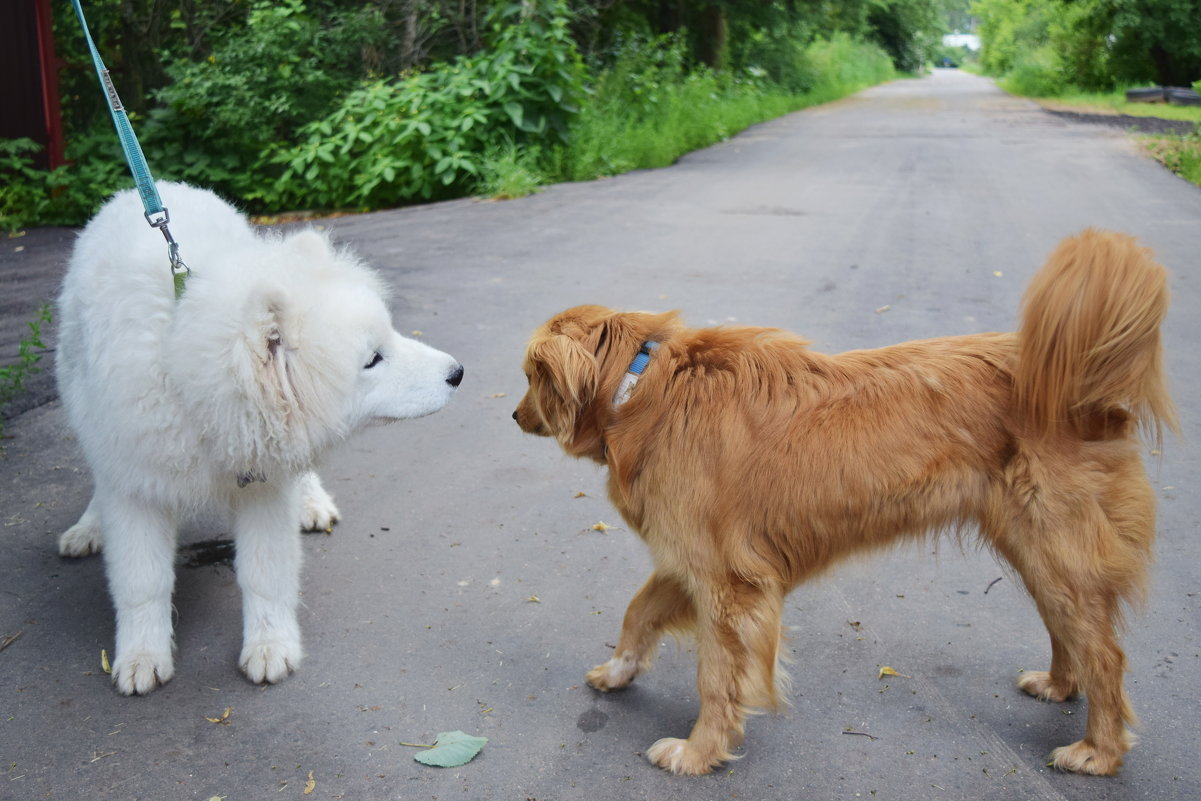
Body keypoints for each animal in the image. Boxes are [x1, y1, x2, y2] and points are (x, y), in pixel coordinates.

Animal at [56, 181, 461, 696]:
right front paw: (142, 657)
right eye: (373, 359)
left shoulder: (265, 484)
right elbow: (141, 582)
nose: (458, 372)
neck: (185, 378)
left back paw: (313, 503)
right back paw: (89, 527)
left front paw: (270, 648)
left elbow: (265, 573)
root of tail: (149, 188)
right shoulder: (136, 487)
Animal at [511, 230, 1176, 778]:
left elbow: (716, 680)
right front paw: (618, 671)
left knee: (1107, 655)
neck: (641, 385)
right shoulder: (687, 562)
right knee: (1072, 634)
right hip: (1037, 553)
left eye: (529, 376)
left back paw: (1098, 751)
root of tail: (1078, 389)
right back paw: (1060, 687)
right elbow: (638, 612)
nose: (513, 415)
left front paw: (698, 753)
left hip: (1057, 551)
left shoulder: (728, 584)